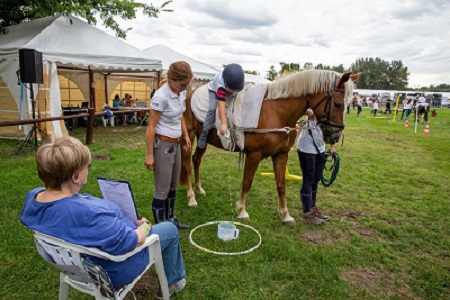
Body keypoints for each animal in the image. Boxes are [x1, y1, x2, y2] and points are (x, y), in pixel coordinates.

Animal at [181, 69, 360, 225]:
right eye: (338, 104)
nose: (335, 136)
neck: (275, 112)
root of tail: (188, 95)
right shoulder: (254, 155)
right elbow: (247, 182)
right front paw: (242, 210)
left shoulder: (281, 154)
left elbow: (281, 185)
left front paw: (285, 215)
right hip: (188, 137)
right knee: (188, 166)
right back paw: (191, 197)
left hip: (202, 138)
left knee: (196, 160)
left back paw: (199, 189)